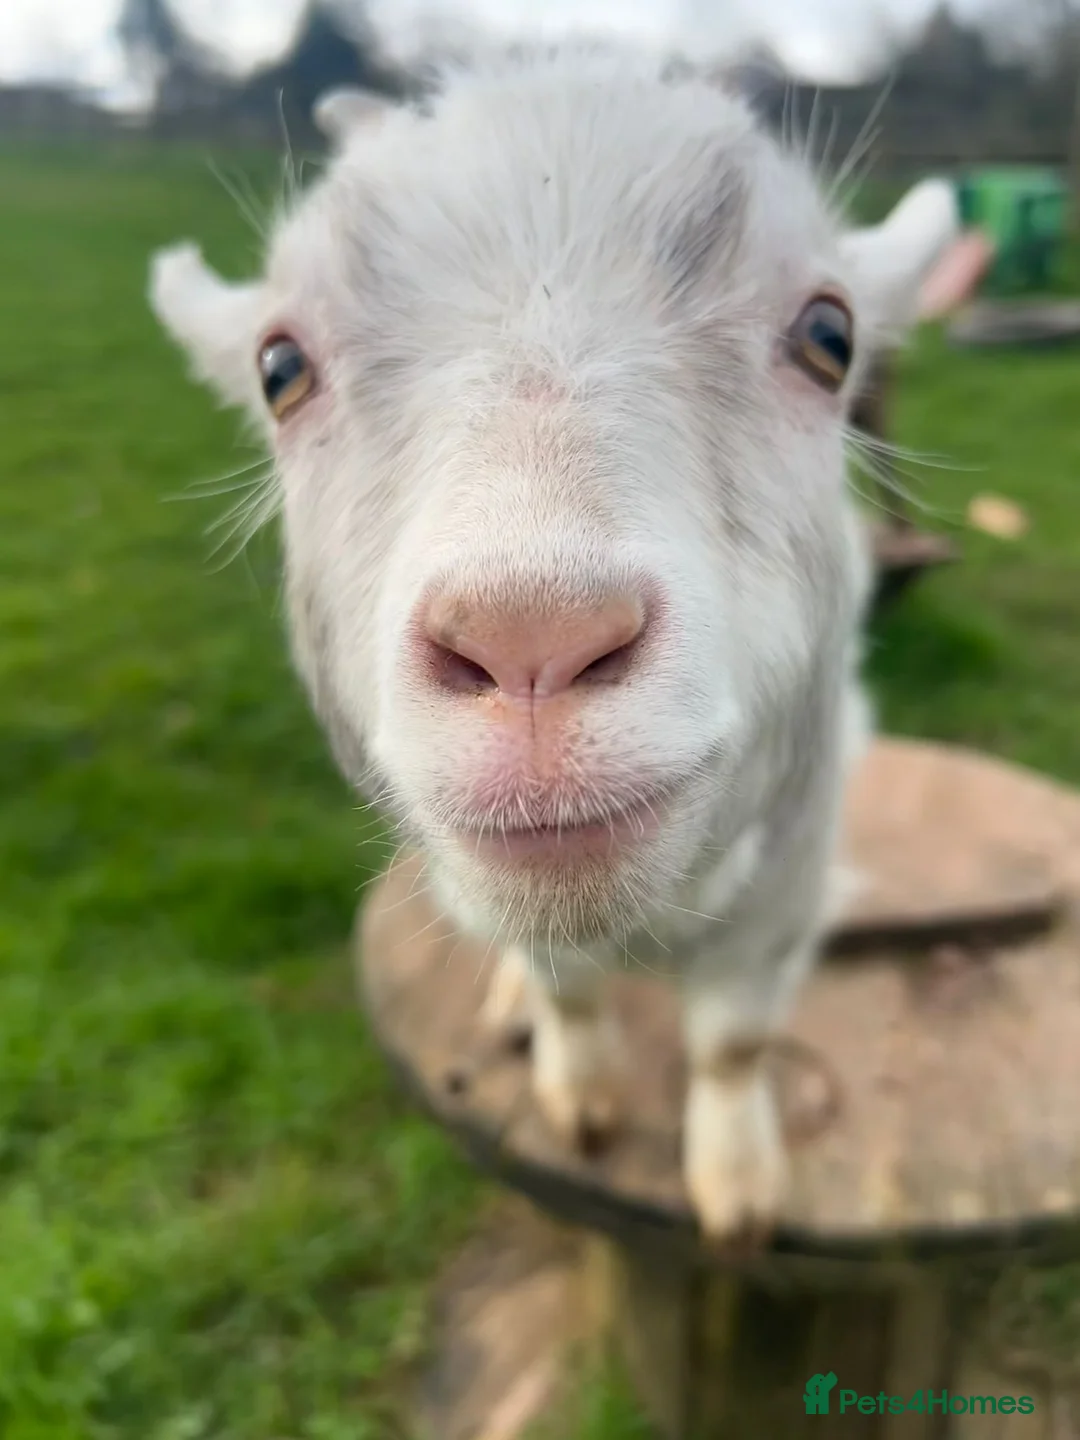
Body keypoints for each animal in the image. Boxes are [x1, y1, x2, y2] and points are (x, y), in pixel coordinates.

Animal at [148, 42, 957, 1241]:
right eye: (279, 369)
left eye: (830, 336)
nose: (533, 640)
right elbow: (566, 991)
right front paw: (581, 1097)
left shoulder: (789, 878)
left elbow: (734, 1042)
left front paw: (738, 1188)